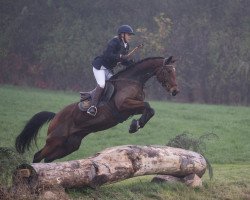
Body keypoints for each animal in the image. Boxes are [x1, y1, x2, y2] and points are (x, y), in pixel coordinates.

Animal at [15, 55, 178, 162]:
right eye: (169, 71)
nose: (175, 91)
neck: (132, 80)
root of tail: (55, 116)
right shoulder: (124, 105)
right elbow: (148, 106)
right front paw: (135, 126)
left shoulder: (131, 108)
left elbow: (150, 110)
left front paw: (136, 125)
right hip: (55, 140)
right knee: (38, 156)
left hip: (69, 145)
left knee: (48, 159)